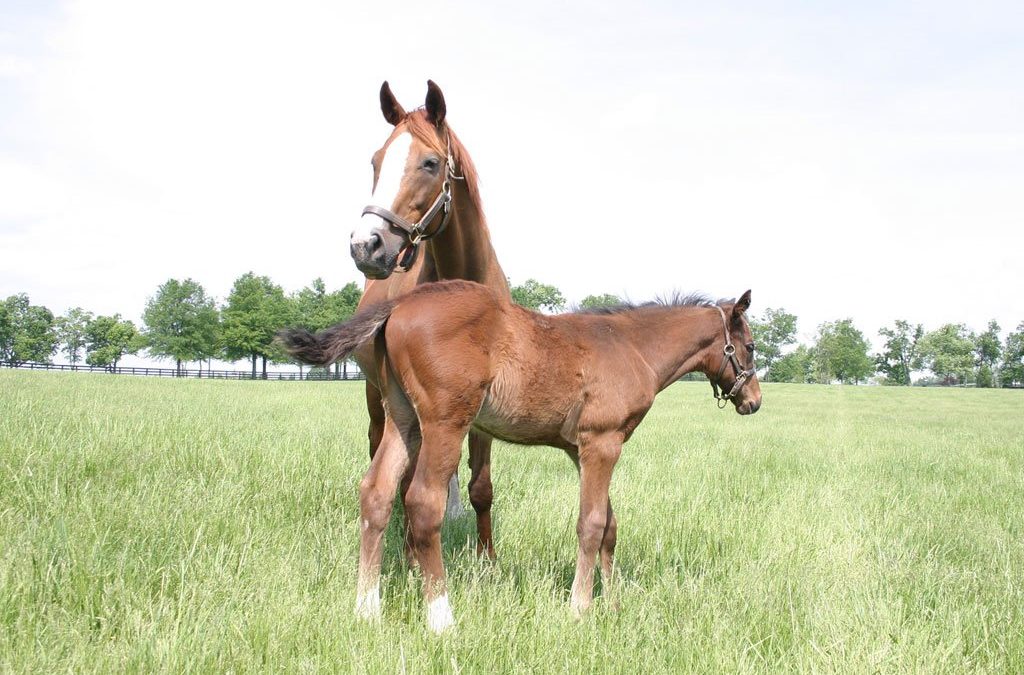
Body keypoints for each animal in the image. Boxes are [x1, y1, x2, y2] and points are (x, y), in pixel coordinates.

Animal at [280, 278, 761, 635]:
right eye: (752, 346)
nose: (753, 401)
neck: (632, 347)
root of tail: (400, 303)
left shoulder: (581, 450)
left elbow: (609, 527)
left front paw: (613, 603)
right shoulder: (602, 443)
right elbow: (591, 525)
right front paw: (580, 608)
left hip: (403, 418)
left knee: (376, 493)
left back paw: (367, 609)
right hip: (444, 421)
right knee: (422, 503)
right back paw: (441, 619)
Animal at [348, 80, 507, 553]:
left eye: (430, 162)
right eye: (376, 162)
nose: (365, 245)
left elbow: (481, 487)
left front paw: (488, 557)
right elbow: (406, 484)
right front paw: (411, 554)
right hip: (378, 398)